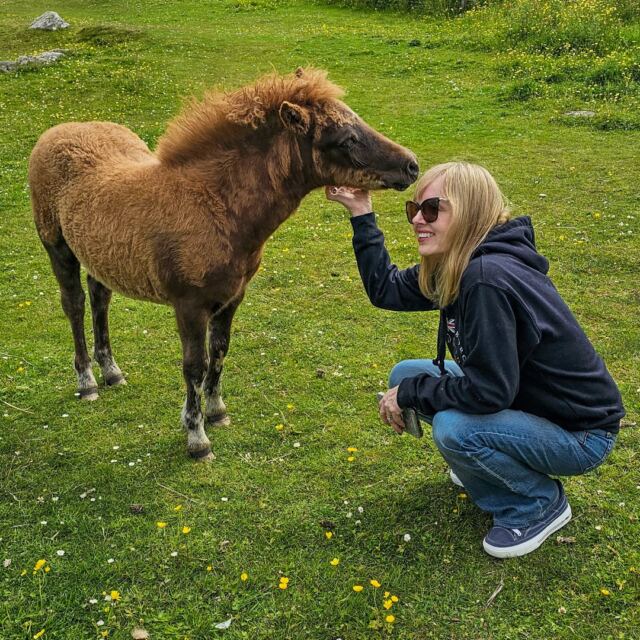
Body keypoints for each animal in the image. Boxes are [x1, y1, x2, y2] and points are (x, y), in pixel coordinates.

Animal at [29, 67, 418, 461]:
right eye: (347, 138)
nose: (411, 165)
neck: (216, 206)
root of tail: (57, 130)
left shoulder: (232, 296)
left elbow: (220, 350)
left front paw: (217, 412)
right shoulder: (189, 305)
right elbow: (194, 366)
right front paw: (197, 437)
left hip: (100, 255)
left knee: (100, 298)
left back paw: (111, 372)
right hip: (56, 244)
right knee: (75, 304)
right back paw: (87, 381)